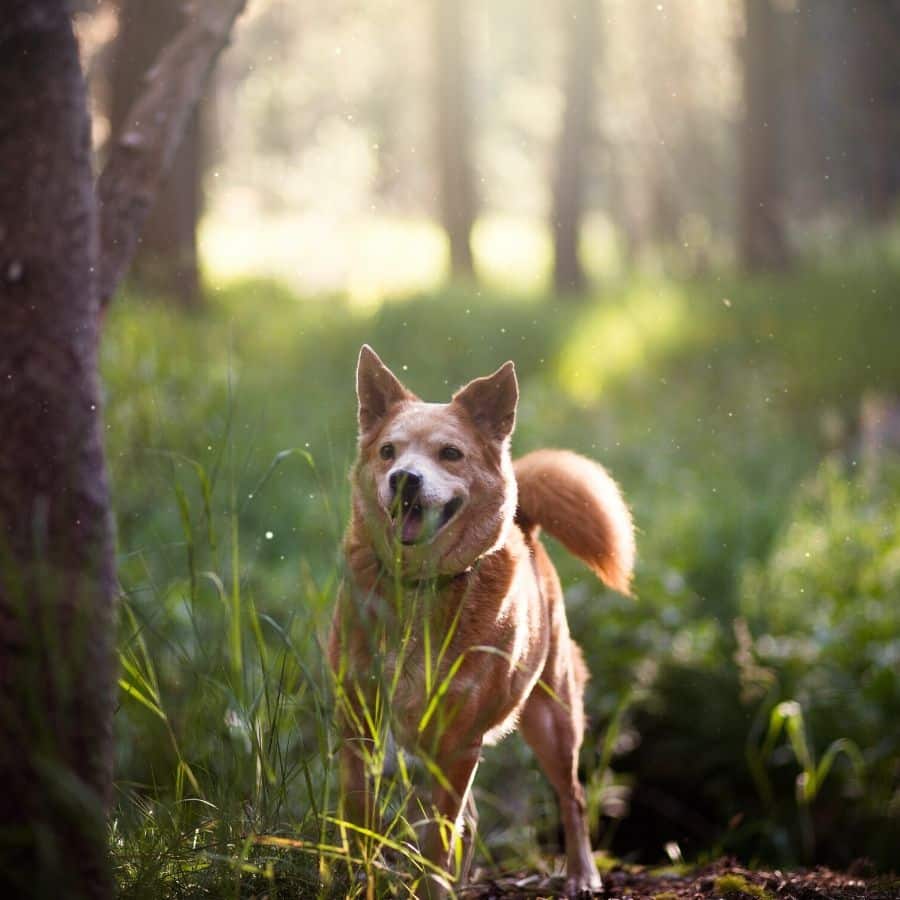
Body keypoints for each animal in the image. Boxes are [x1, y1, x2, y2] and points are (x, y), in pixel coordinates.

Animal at [328, 344, 632, 892]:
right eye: (388, 452)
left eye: (450, 453)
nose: (404, 478)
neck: (421, 589)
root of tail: (525, 524)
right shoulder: (359, 720)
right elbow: (361, 819)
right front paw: (362, 879)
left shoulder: (458, 740)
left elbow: (439, 837)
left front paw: (432, 887)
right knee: (470, 819)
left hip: (552, 719)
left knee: (572, 798)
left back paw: (581, 874)